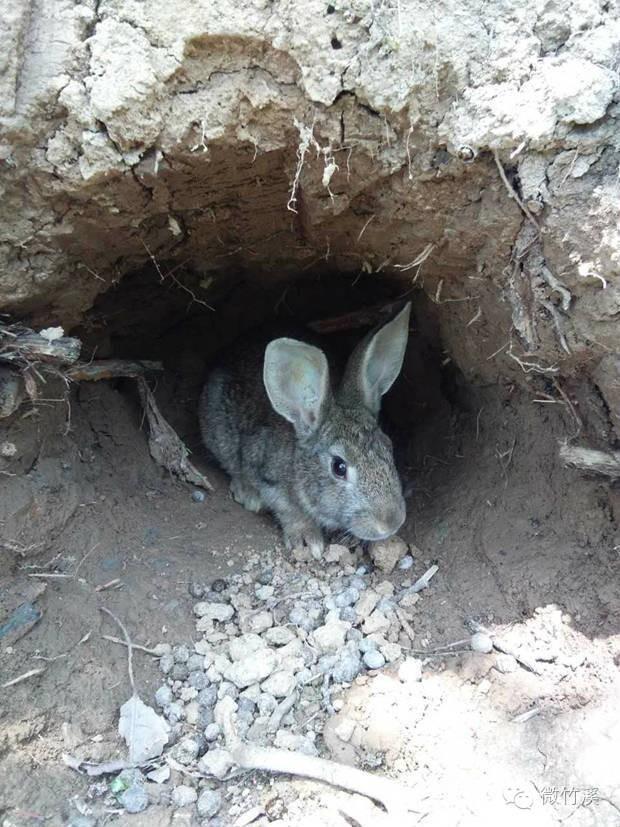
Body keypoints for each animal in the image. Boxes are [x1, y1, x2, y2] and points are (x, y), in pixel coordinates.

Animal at [200, 300, 412, 560]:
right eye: (339, 467)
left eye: (388, 447)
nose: (391, 522)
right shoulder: (268, 477)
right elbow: (289, 511)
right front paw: (307, 540)